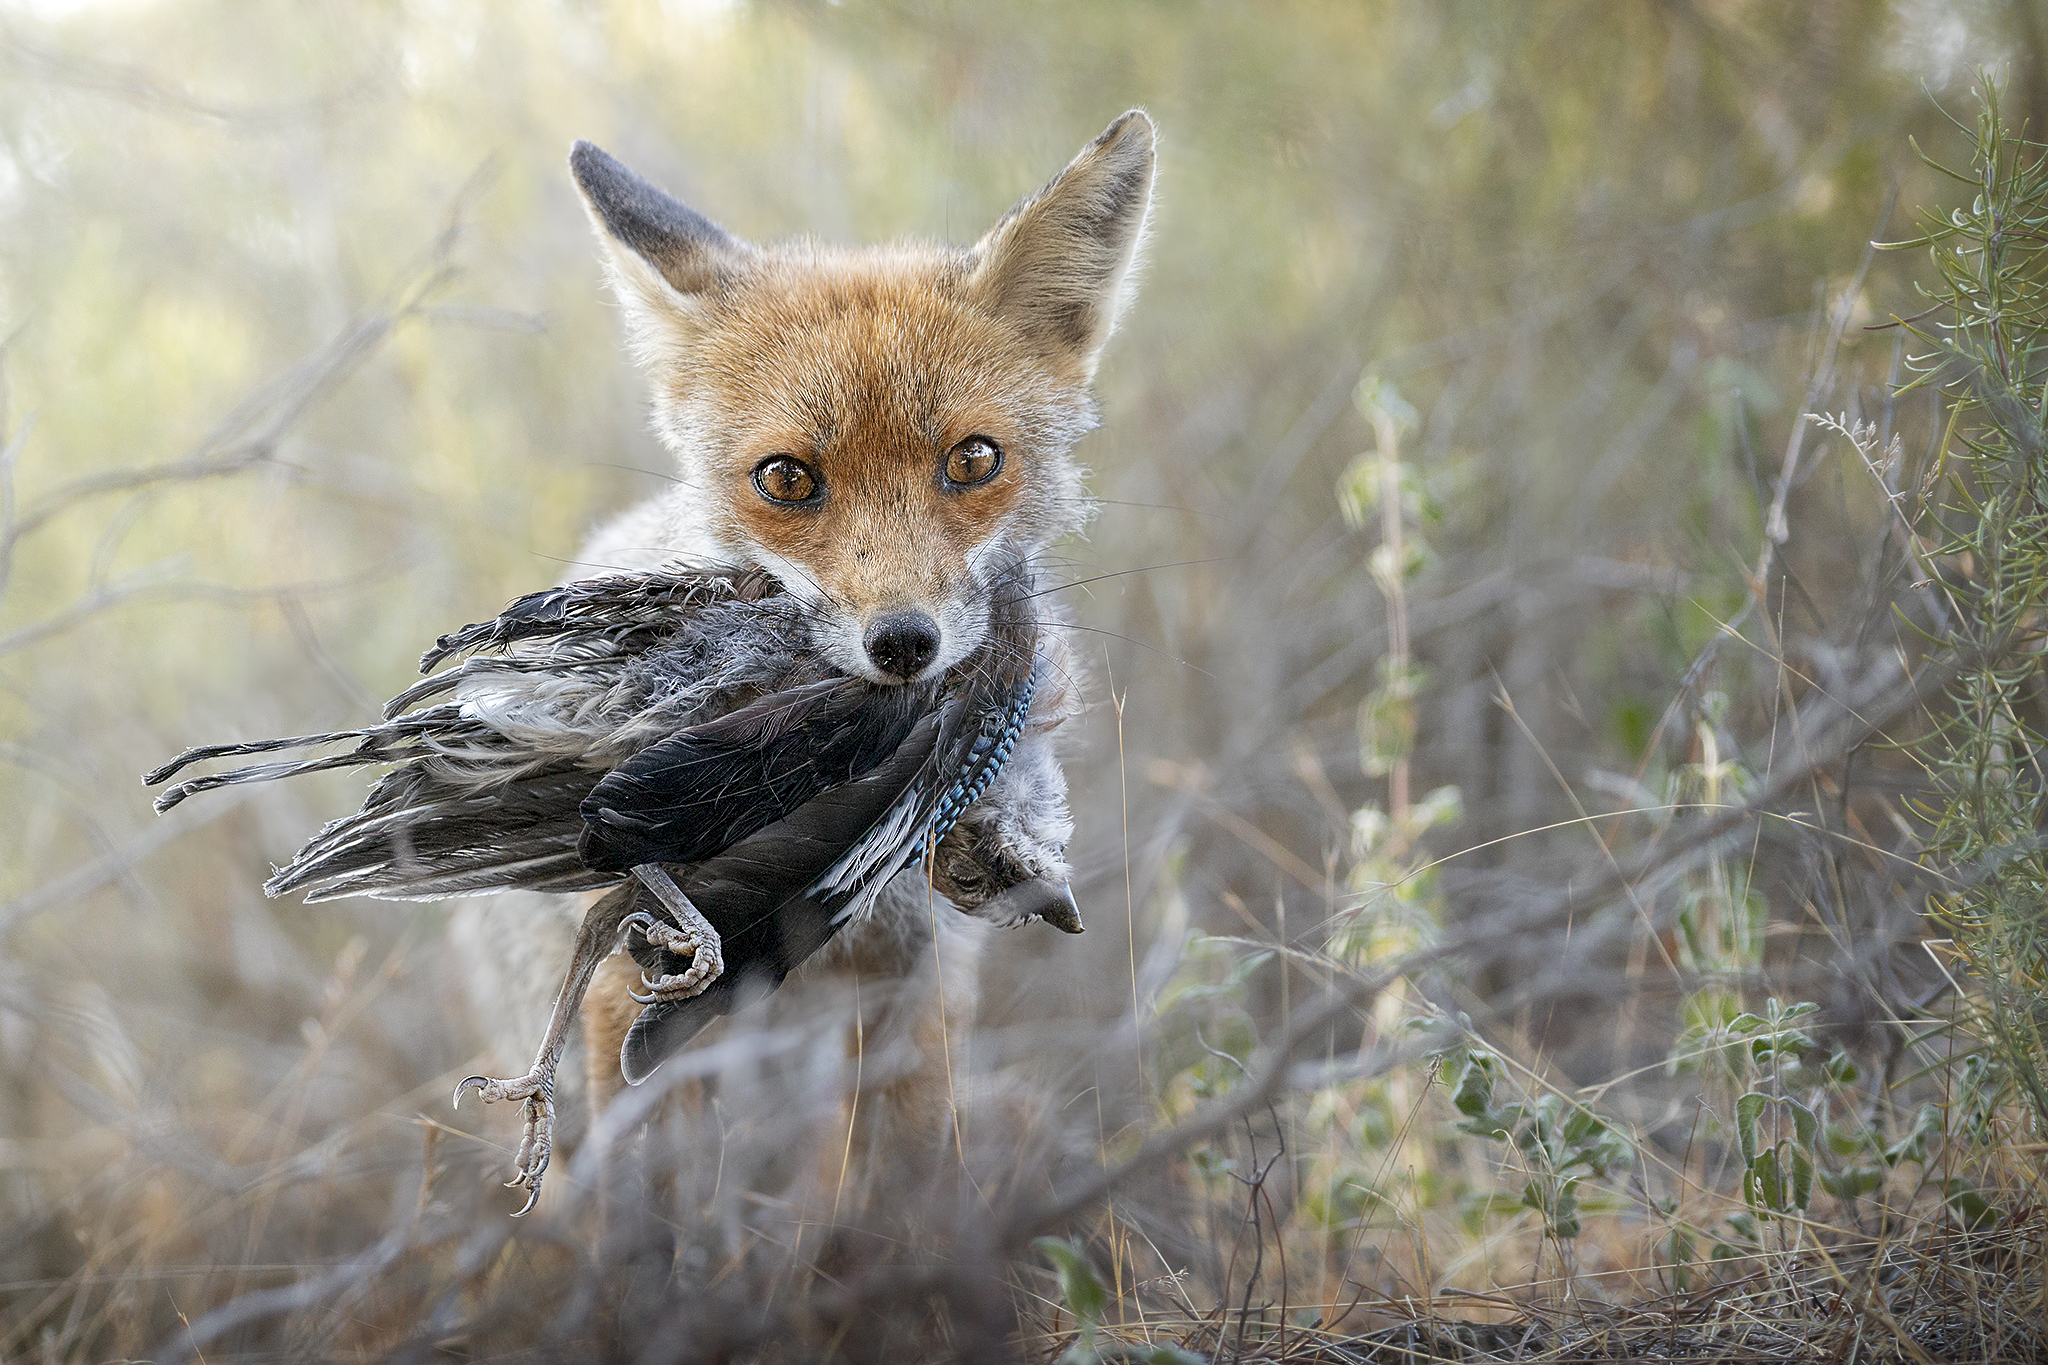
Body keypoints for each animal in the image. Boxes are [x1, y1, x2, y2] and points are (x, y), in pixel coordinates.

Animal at [447, 111, 1156, 1212]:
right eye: (785, 479)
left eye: (974, 460)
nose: (904, 643)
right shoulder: (630, 998)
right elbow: (644, 1211)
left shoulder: (912, 994)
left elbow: (908, 1192)